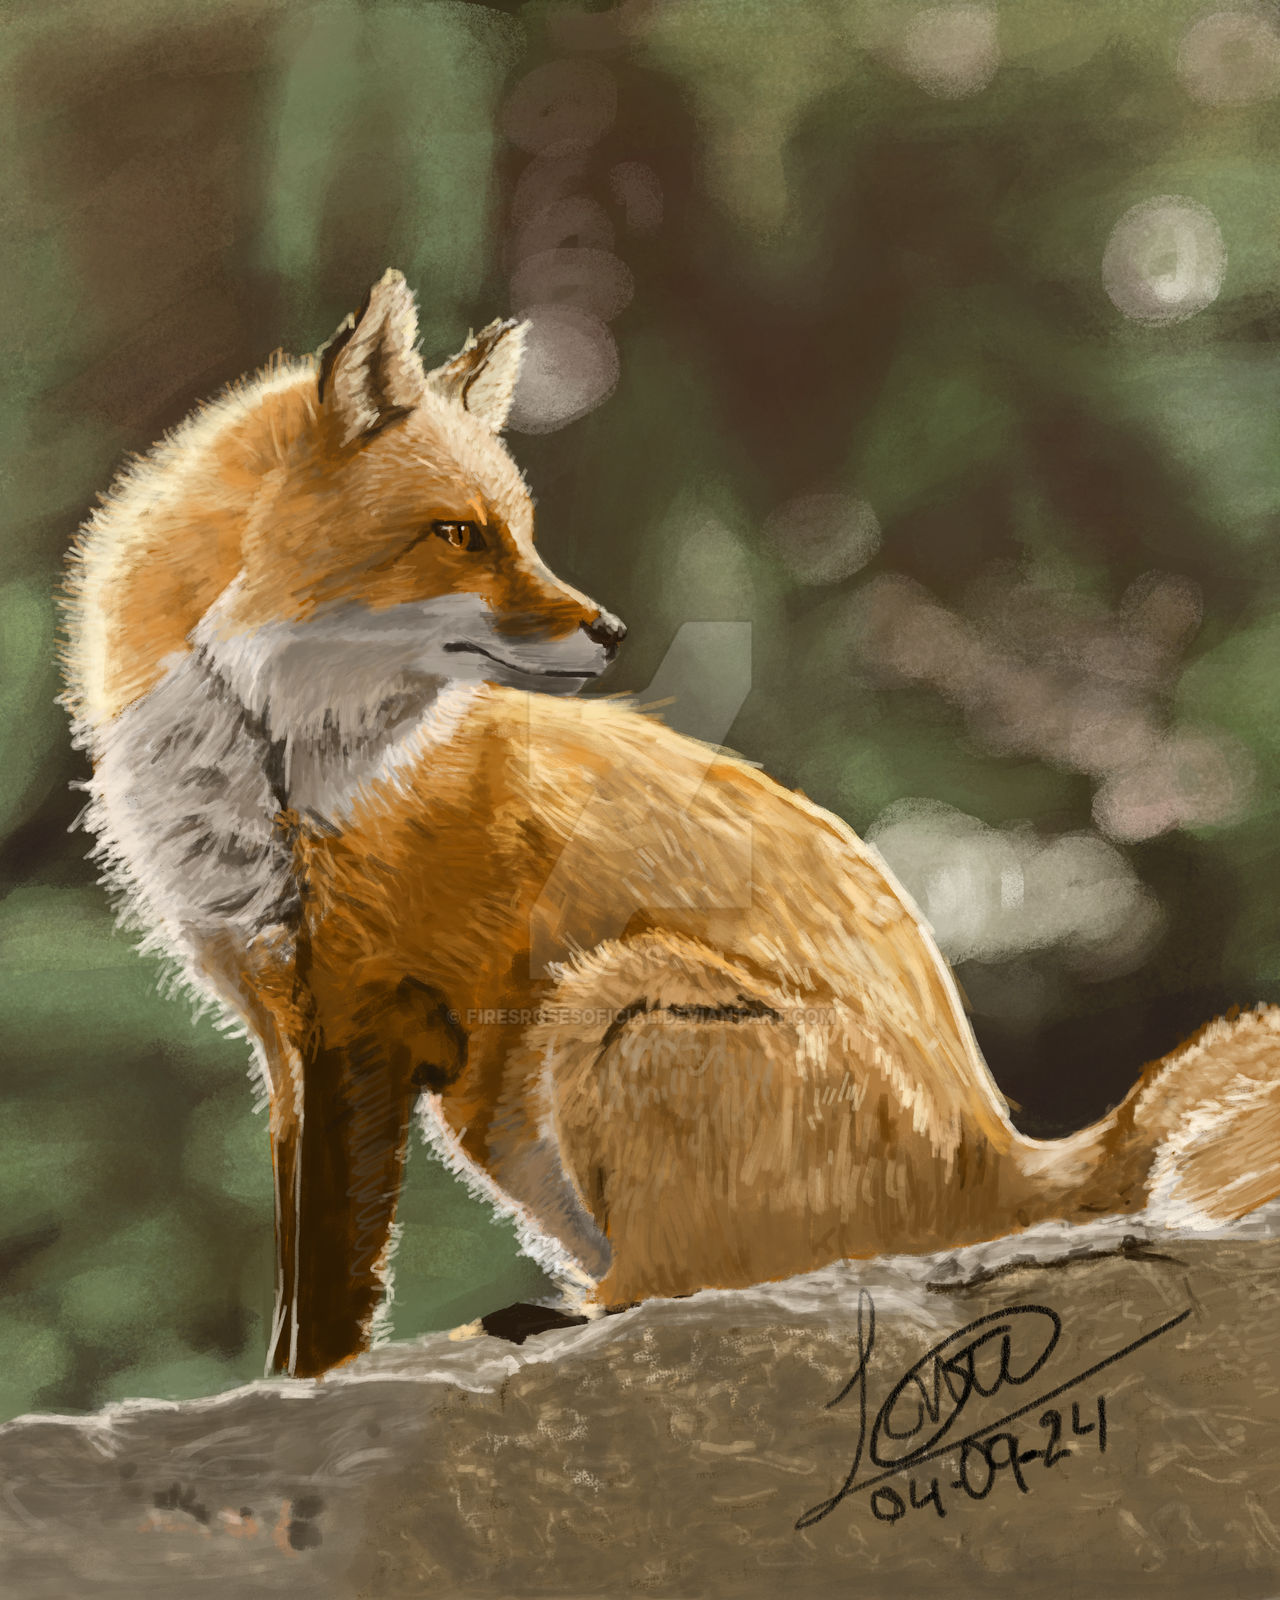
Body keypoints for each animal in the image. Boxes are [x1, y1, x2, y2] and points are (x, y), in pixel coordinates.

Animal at [61, 268, 1280, 1380]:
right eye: (460, 535)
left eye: (522, 533)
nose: (610, 629)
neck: (275, 766)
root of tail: (1002, 1153)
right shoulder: (284, 1029)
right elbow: (297, 1265)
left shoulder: (364, 1013)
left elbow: (328, 1289)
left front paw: (305, 1392)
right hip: (506, 1104)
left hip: (607, 1003)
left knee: (692, 1288)